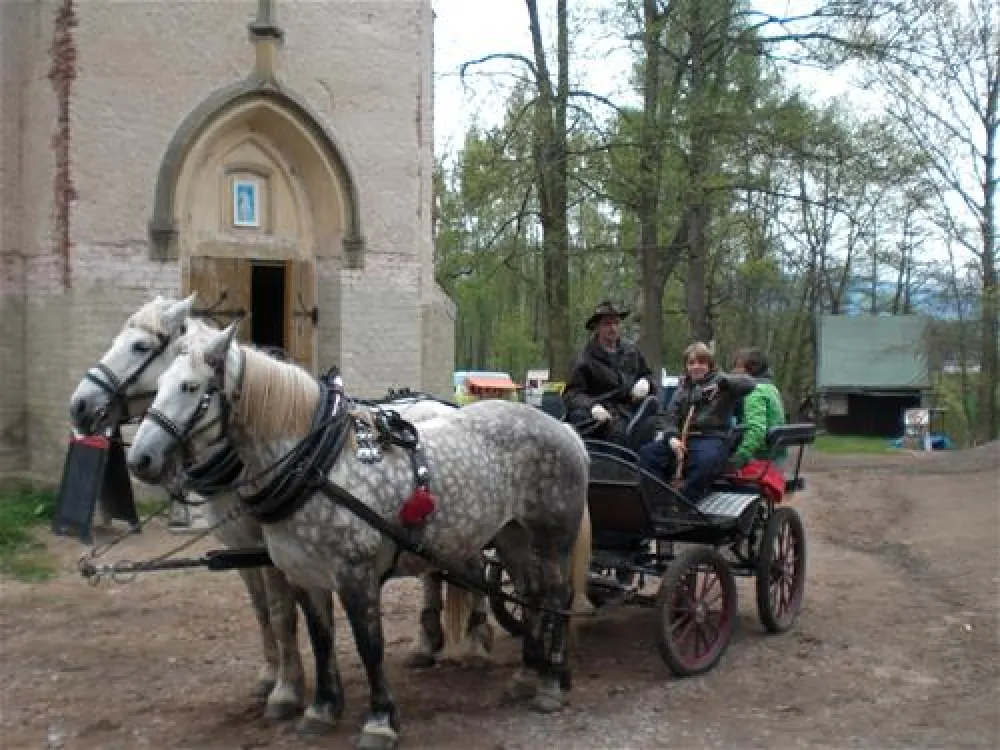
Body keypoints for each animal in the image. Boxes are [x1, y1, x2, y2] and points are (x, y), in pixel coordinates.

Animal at [66, 296, 535, 730]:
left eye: (140, 345)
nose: (80, 407)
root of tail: (448, 406)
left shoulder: (276, 554)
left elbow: (282, 614)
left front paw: (288, 691)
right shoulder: (249, 551)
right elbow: (265, 613)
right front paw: (274, 678)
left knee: (468, 570)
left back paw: (475, 641)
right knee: (438, 573)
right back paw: (429, 643)